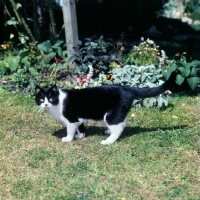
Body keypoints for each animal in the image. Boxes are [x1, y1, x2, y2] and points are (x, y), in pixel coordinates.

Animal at [35, 74, 175, 145]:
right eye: (41, 100)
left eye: (51, 99)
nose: (46, 104)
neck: (58, 103)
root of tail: (127, 88)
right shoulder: (78, 118)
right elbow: (81, 126)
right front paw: (80, 136)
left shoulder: (71, 118)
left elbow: (70, 129)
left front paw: (68, 139)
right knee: (121, 123)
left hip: (111, 114)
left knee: (118, 127)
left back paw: (108, 141)